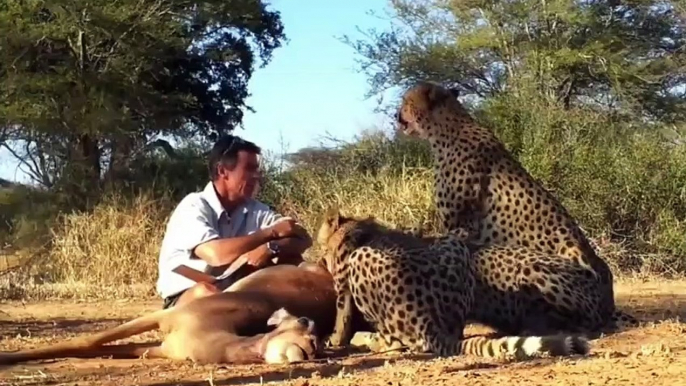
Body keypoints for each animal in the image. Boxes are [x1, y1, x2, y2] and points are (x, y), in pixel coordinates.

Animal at [318, 207, 592, 360]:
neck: (351, 227)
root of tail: (428, 322)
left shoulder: (343, 285)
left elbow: (342, 318)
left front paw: (335, 341)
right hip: (456, 246)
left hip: (361, 258)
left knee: (396, 343)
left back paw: (367, 339)